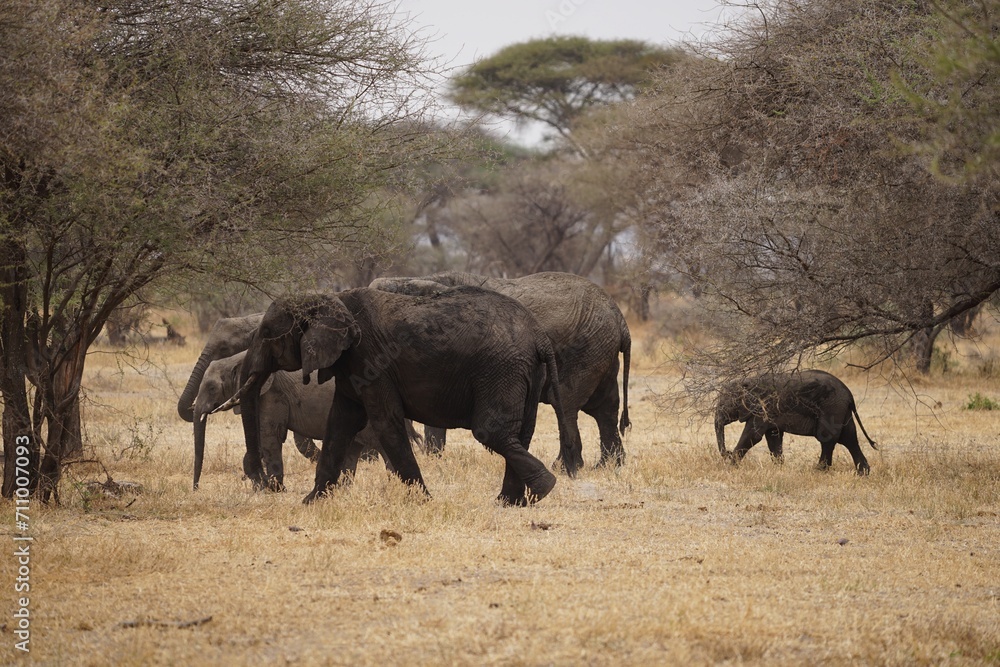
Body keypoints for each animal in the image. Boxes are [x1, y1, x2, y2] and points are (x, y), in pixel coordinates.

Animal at [191, 351, 395, 490]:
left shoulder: (272, 394)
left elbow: (269, 436)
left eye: (211, 388)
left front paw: (275, 489)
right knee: (353, 450)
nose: (196, 488)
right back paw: (340, 490)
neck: (237, 358)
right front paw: (261, 487)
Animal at [219, 285, 577, 505]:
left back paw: (543, 488)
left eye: (267, 333)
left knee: (493, 432)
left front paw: (424, 501)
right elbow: (340, 425)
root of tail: (539, 336)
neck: (330, 299)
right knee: (520, 432)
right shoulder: (352, 366)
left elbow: (385, 423)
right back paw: (512, 502)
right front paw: (311, 502)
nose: (261, 483)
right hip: (524, 371)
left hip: (502, 369)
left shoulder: (372, 361)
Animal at [370, 271, 631, 469]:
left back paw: (565, 467)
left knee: (565, 403)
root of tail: (620, 319)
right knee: (604, 407)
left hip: (587, 348)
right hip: (600, 349)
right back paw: (607, 466)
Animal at [714, 369, 878, 475]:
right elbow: (773, 437)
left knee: (827, 438)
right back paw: (863, 473)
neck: (749, 381)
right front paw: (779, 468)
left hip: (832, 407)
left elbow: (752, 436)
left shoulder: (764, 408)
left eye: (724, 405)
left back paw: (818, 471)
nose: (727, 452)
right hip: (841, 410)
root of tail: (850, 395)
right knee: (849, 438)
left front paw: (730, 468)